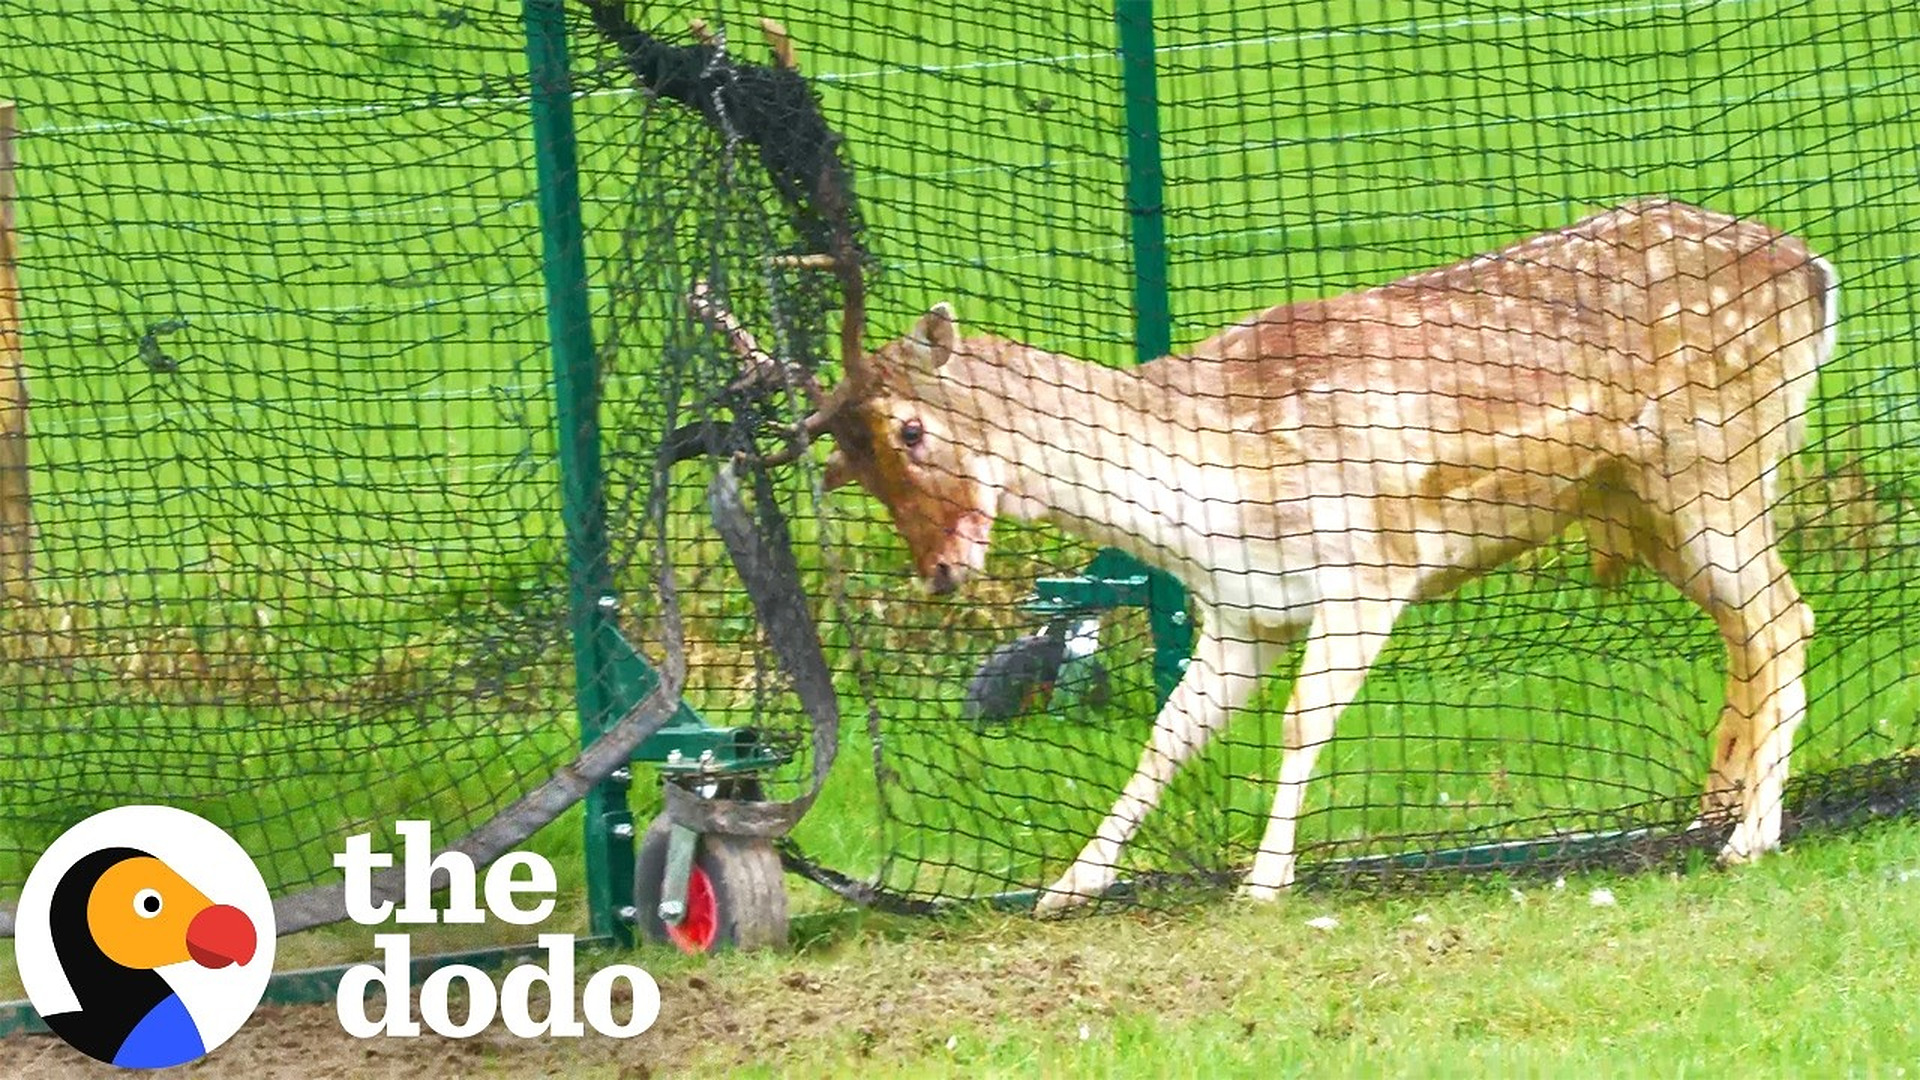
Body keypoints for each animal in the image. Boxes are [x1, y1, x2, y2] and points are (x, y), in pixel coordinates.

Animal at [685, 196, 1839, 915]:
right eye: (852, 470)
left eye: (914, 430)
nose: (938, 571)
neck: (1214, 496)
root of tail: (1819, 276)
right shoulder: (1241, 614)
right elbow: (1165, 738)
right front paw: (1067, 887)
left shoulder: (1373, 569)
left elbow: (1297, 724)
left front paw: (1264, 881)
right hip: (1654, 501)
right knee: (1750, 629)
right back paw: (1716, 806)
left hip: (1714, 463)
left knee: (1785, 616)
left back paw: (1750, 836)